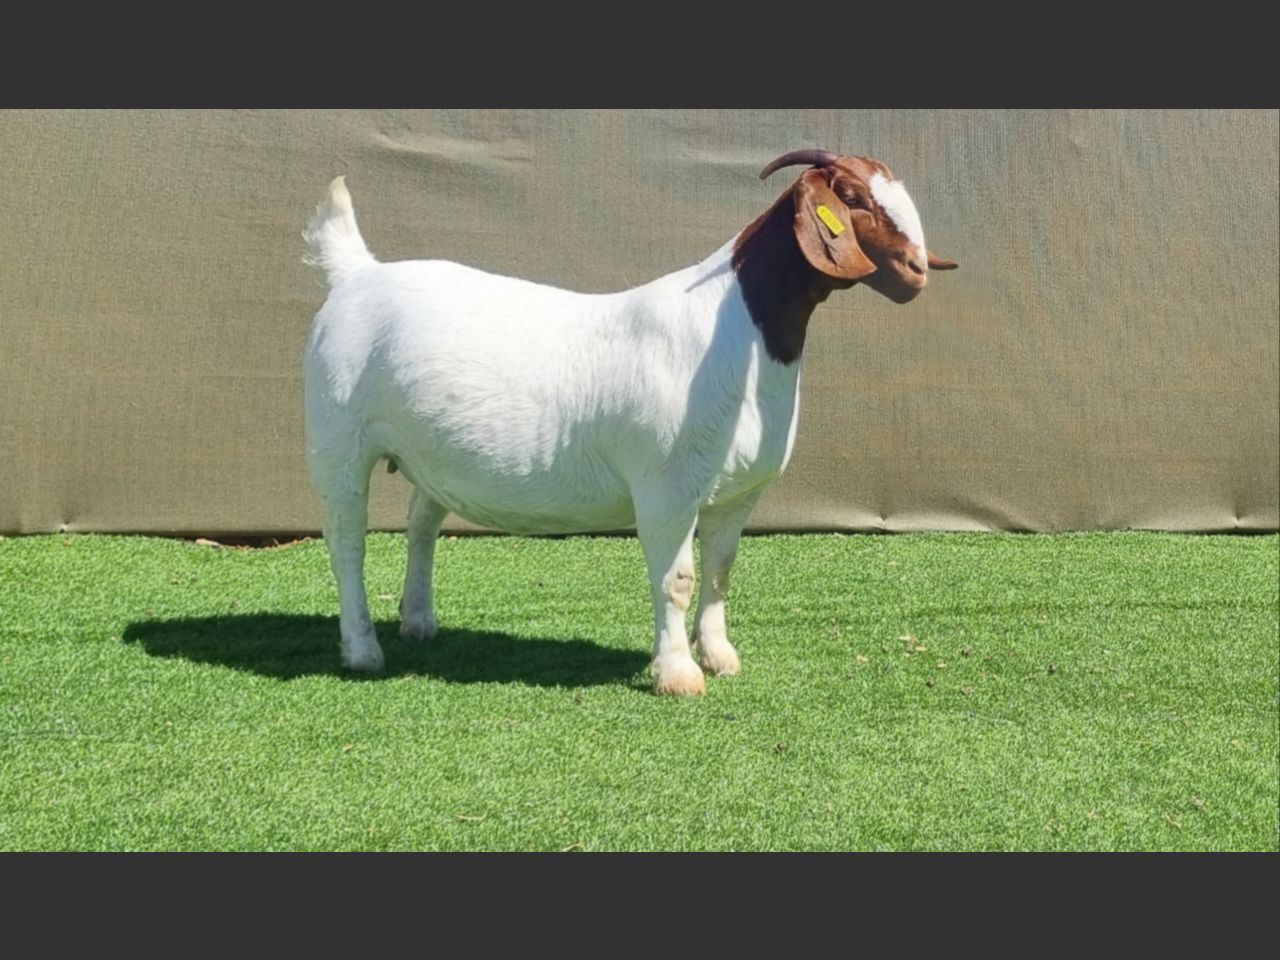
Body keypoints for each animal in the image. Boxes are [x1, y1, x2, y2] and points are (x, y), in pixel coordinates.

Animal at [302, 148, 957, 696]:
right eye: (850, 195)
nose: (916, 269)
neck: (736, 332)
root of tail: (357, 273)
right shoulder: (666, 488)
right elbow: (678, 579)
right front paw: (678, 675)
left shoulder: (738, 492)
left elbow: (721, 571)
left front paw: (719, 656)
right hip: (337, 440)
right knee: (346, 540)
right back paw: (363, 650)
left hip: (427, 455)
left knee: (421, 525)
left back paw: (419, 622)